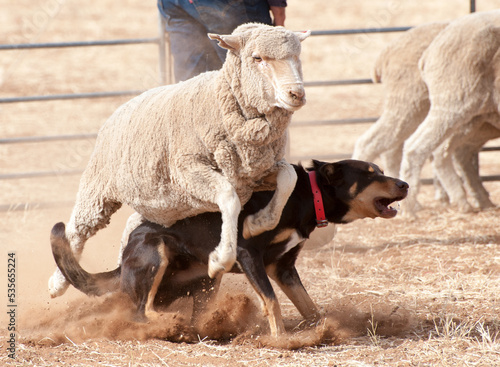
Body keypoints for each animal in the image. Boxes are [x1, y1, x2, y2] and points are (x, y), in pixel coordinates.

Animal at [48, 23, 310, 298]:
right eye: (257, 58)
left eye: (297, 56)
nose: (297, 94)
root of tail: (119, 109)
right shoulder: (189, 170)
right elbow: (229, 199)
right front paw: (221, 259)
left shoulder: (255, 173)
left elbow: (289, 178)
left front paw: (258, 223)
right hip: (98, 189)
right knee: (77, 230)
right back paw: (57, 283)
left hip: (161, 206)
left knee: (130, 224)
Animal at [50, 160, 408, 338]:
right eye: (370, 174)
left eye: (380, 170)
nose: (404, 184)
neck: (307, 196)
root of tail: (123, 262)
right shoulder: (250, 255)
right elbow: (272, 301)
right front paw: (281, 339)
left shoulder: (283, 267)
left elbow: (309, 307)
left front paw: (325, 329)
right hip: (156, 253)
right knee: (141, 311)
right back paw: (170, 324)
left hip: (208, 282)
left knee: (190, 312)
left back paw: (198, 328)